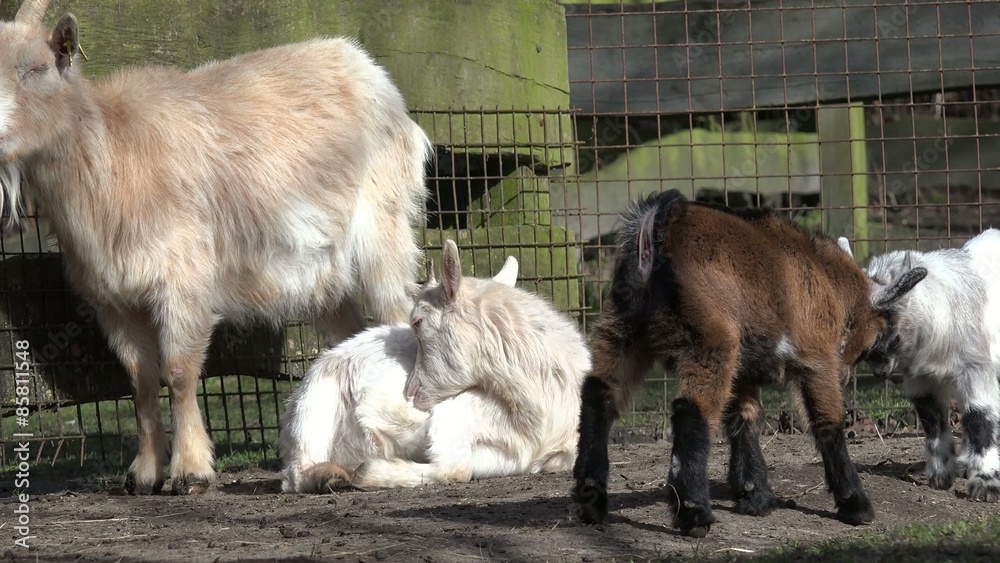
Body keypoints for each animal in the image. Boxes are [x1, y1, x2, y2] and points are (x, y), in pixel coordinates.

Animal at [0, 0, 432, 495]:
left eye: (35, 68)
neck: (112, 153)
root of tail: (368, 68)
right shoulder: (113, 300)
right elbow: (140, 380)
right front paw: (144, 473)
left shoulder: (182, 279)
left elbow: (178, 372)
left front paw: (190, 470)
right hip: (323, 271)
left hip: (383, 226)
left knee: (397, 312)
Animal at [279, 239, 591, 491]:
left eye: (417, 322)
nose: (410, 392)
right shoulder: (454, 416)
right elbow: (455, 468)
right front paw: (370, 472)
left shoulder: (513, 455)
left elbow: (465, 467)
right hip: (315, 400)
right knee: (295, 474)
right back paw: (329, 476)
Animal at [572, 190, 926, 537]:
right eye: (881, 327)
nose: (882, 368)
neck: (828, 280)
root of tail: (657, 226)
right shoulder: (816, 359)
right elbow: (828, 423)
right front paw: (856, 505)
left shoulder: (744, 370)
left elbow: (745, 418)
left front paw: (755, 496)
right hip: (710, 341)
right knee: (691, 409)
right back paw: (694, 514)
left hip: (623, 326)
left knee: (598, 394)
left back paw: (592, 502)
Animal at [865, 229, 1000, 502]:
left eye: (893, 337)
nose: (879, 372)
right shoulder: (922, 379)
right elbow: (932, 420)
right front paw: (942, 475)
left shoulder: (976, 368)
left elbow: (980, 418)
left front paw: (985, 483)